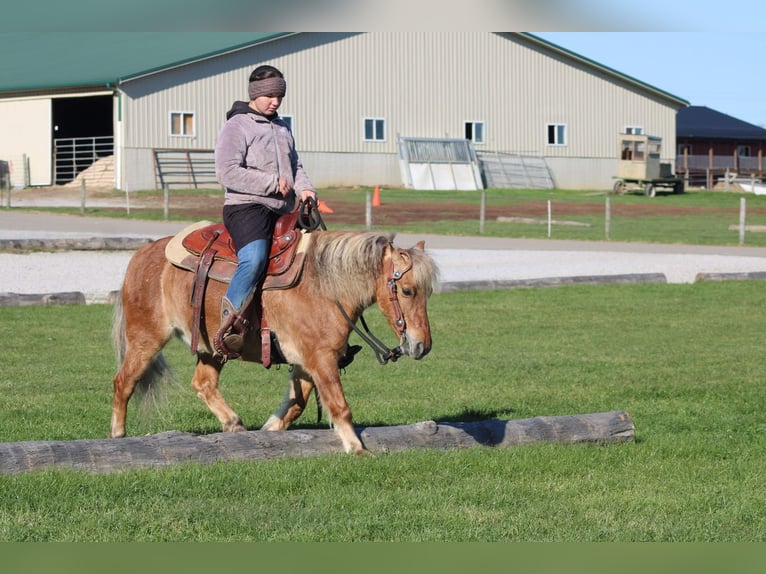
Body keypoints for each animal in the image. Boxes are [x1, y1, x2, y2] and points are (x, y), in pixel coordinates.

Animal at [110, 228, 439, 455]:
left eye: (428, 292)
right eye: (407, 290)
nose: (422, 345)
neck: (325, 286)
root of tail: (141, 255)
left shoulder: (306, 361)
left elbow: (298, 403)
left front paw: (270, 429)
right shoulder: (320, 358)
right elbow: (338, 404)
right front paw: (356, 447)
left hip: (212, 347)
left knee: (203, 383)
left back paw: (234, 424)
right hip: (145, 338)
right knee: (123, 382)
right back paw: (117, 436)